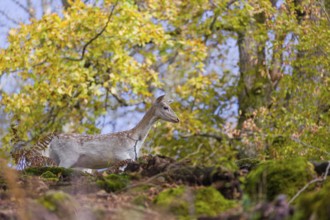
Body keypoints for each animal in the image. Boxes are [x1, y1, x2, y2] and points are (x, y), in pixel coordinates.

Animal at [36, 95, 179, 169]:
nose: (177, 119)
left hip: (56, 157)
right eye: (165, 107)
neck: (135, 139)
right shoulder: (120, 154)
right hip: (68, 156)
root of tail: (52, 140)